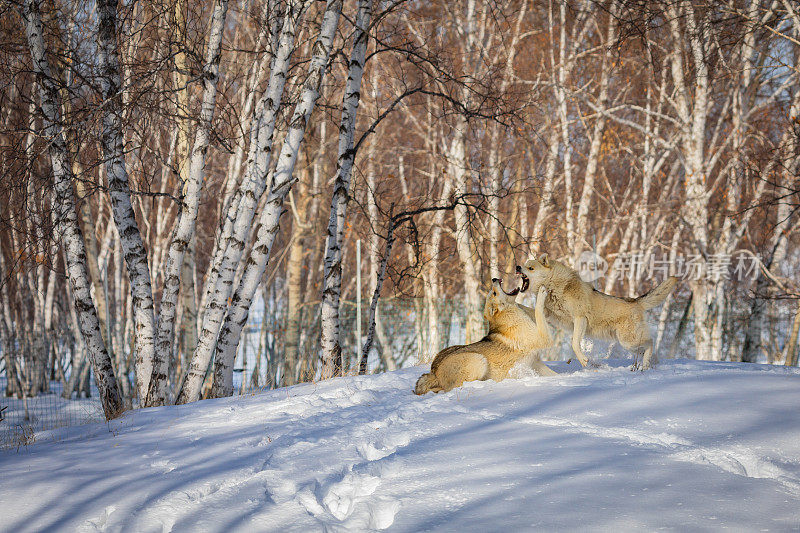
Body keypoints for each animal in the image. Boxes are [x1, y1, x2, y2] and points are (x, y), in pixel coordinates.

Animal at [412, 276, 556, 392]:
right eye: (494, 292)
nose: (494, 279)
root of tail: (434, 374)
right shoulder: (544, 338)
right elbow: (538, 310)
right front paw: (542, 292)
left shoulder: (535, 362)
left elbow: (555, 375)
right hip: (479, 360)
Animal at [506, 254, 676, 370]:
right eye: (525, 265)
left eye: (531, 268)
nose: (517, 267)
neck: (556, 287)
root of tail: (635, 301)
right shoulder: (549, 315)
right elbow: (529, 309)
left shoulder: (580, 318)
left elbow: (575, 344)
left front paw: (583, 360)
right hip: (629, 344)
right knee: (647, 347)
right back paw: (648, 365)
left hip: (628, 341)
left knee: (651, 342)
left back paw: (646, 365)